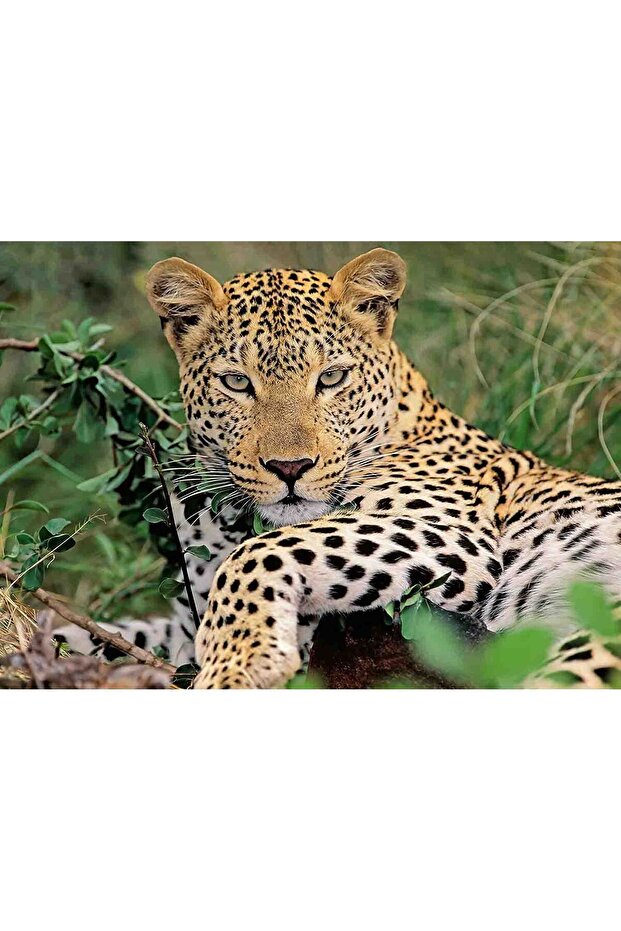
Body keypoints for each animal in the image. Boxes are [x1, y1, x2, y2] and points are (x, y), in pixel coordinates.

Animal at [60, 248, 621, 688]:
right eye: (237, 383)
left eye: (331, 378)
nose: (289, 467)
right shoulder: (180, 625)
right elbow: (107, 631)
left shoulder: (451, 535)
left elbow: (259, 552)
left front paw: (237, 664)